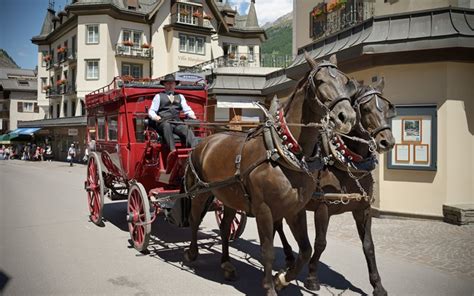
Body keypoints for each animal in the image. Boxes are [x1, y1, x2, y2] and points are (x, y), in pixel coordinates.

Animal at [185, 54, 360, 294]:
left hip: (228, 196)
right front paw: (269, 286)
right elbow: (267, 251)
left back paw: (226, 264)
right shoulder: (264, 210)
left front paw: (282, 278)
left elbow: (305, 250)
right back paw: (192, 252)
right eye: (320, 81)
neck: (283, 151)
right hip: (201, 191)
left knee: (225, 226)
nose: (347, 117)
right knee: (194, 219)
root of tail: (206, 140)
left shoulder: (295, 210)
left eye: (346, 82)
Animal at [274, 79, 396, 296]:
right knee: (278, 224)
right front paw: (312, 278)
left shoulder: (363, 209)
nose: (387, 141)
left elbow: (368, 246)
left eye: (387, 107)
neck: (346, 163)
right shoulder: (323, 208)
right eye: (365, 109)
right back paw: (288, 255)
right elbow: (320, 243)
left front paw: (378, 285)